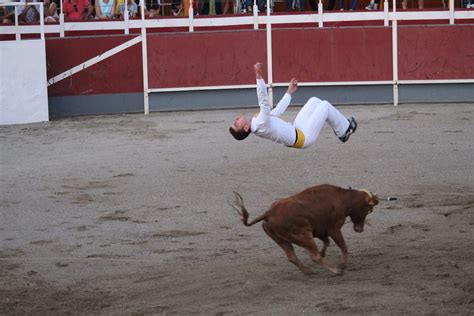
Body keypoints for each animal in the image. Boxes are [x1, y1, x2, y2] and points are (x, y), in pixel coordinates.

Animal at [228, 184, 380, 276]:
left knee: (291, 256)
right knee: (313, 256)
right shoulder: (334, 228)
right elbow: (343, 246)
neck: (343, 198)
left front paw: (324, 252)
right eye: (368, 209)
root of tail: (269, 213)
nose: (359, 229)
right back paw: (335, 271)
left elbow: (326, 242)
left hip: (282, 239)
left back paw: (308, 271)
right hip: (303, 236)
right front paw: (342, 265)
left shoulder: (320, 230)